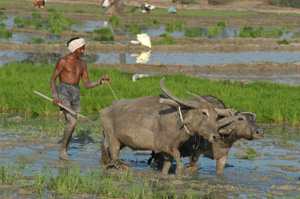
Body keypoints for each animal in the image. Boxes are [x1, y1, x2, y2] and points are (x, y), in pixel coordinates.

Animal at [99, 77, 233, 176]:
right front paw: (180, 172)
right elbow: (178, 156)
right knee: (114, 156)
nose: (216, 136)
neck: (176, 122)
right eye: (204, 113)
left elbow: (167, 166)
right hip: (113, 140)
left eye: (216, 116)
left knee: (108, 152)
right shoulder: (163, 147)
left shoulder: (167, 152)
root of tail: (106, 110)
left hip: (122, 141)